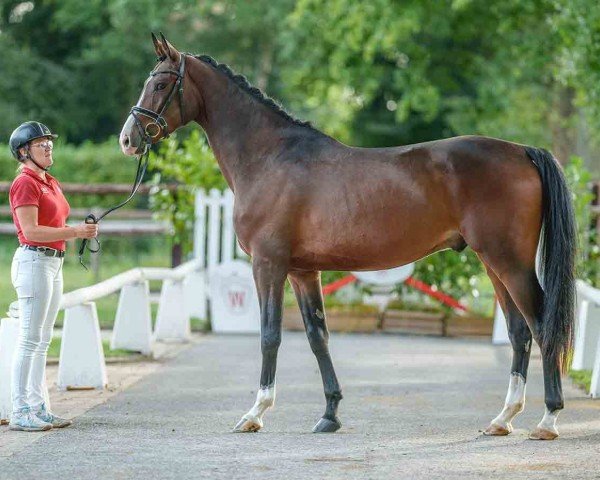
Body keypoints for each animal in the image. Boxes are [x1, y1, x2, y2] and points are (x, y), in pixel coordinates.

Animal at [118, 31, 576, 440]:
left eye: (160, 83)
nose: (128, 139)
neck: (270, 158)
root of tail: (523, 152)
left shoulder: (268, 264)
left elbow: (270, 335)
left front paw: (255, 413)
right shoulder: (303, 271)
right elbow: (317, 336)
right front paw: (330, 414)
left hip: (509, 262)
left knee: (541, 327)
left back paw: (548, 420)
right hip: (493, 263)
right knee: (519, 332)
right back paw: (503, 419)